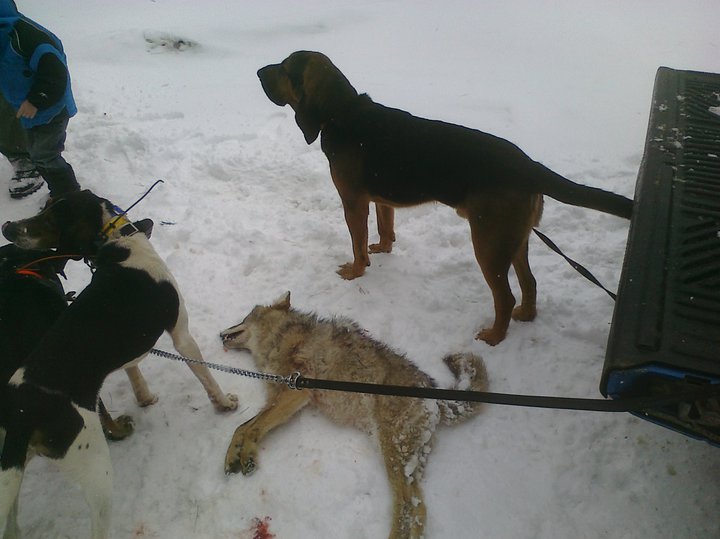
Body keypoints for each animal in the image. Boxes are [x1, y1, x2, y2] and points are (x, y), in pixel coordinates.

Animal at [0, 190, 238, 538]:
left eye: (49, 215)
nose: (7, 227)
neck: (118, 243)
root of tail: (21, 414)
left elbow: (134, 372)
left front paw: (145, 398)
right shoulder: (181, 335)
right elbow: (207, 377)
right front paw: (224, 403)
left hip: (12, 472)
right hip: (96, 469)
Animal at [221, 292, 488, 539]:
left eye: (243, 318)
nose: (220, 334)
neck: (282, 335)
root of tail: (435, 396)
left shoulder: (297, 390)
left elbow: (252, 427)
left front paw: (247, 456)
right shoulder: (281, 398)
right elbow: (241, 427)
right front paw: (233, 457)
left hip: (392, 453)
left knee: (407, 506)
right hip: (404, 460)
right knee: (419, 508)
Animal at [257, 51, 634, 345]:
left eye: (285, 68)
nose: (259, 72)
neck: (343, 110)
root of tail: (530, 166)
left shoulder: (353, 202)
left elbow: (357, 243)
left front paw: (356, 271)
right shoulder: (380, 200)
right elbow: (385, 229)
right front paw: (383, 249)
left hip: (488, 243)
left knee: (505, 296)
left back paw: (495, 337)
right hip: (514, 239)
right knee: (529, 282)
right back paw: (526, 315)